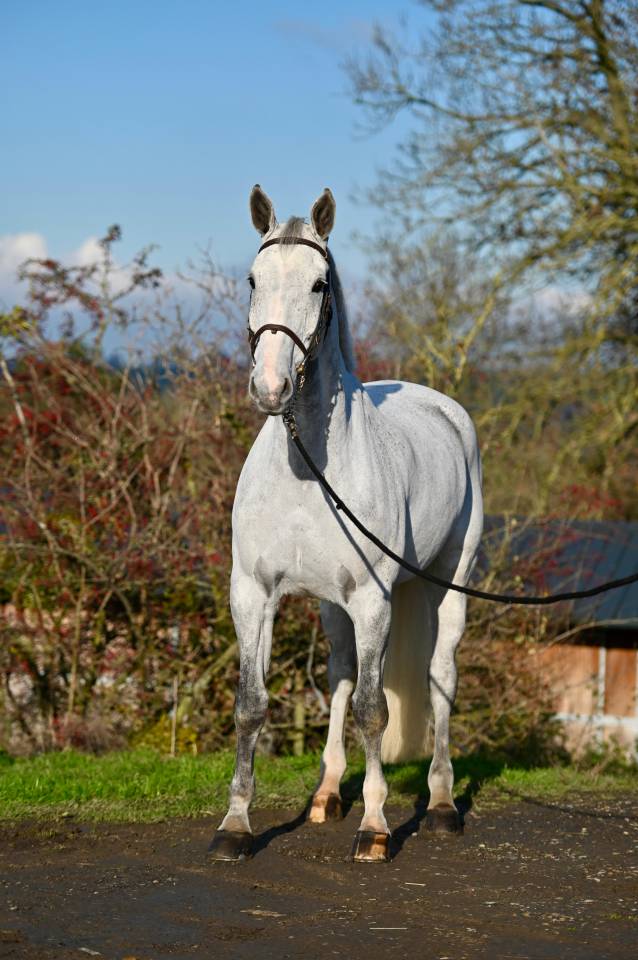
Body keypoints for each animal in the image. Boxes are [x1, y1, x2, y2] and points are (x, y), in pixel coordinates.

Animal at [208, 185, 483, 863]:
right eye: (252, 279)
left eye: (318, 284)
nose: (270, 387)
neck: (307, 469)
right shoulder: (254, 594)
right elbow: (252, 705)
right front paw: (236, 826)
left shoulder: (373, 601)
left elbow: (373, 710)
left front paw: (376, 827)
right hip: (332, 607)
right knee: (339, 673)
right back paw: (328, 794)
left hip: (448, 584)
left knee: (440, 677)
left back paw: (441, 804)